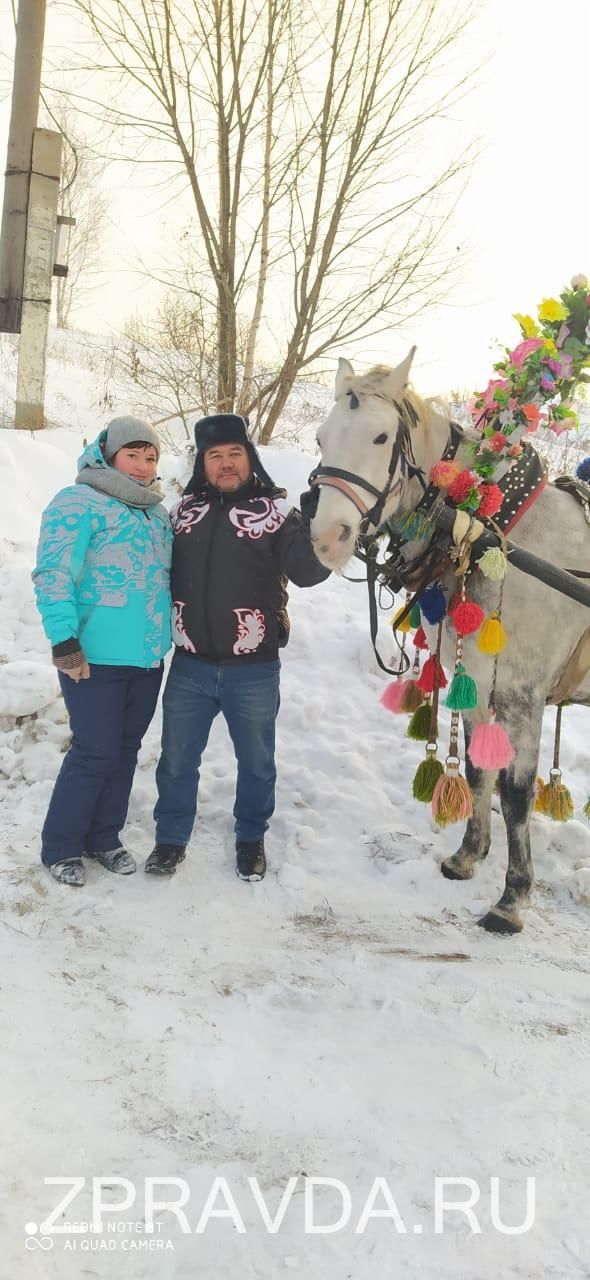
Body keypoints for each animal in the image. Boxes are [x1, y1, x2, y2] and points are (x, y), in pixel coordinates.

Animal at [310, 350, 586, 931]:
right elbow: (480, 774)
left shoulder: (522, 695)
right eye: (322, 438)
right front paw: (467, 856)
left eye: (380, 437)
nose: (326, 538)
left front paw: (512, 899)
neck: (486, 532)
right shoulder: (478, 682)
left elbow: (516, 794)